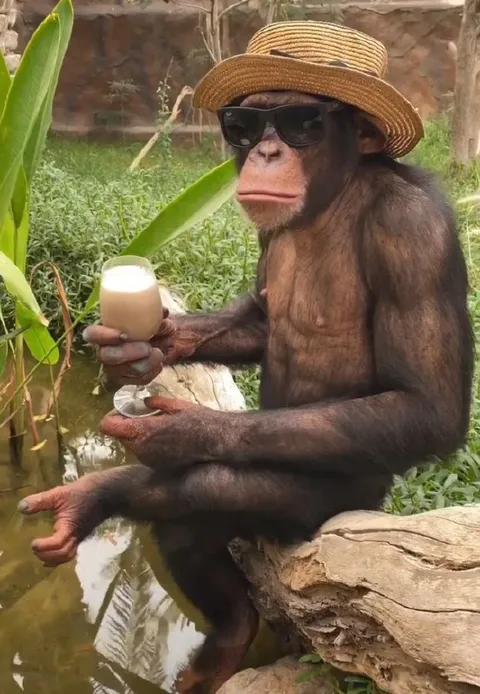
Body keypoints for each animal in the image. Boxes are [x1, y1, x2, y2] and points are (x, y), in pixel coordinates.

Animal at [19, 88, 474, 693]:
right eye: (243, 125)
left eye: (304, 123)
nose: (267, 150)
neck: (332, 197)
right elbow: (258, 318)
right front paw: (134, 353)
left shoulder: (413, 232)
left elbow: (427, 404)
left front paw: (182, 432)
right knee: (184, 518)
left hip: (341, 498)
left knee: (206, 488)